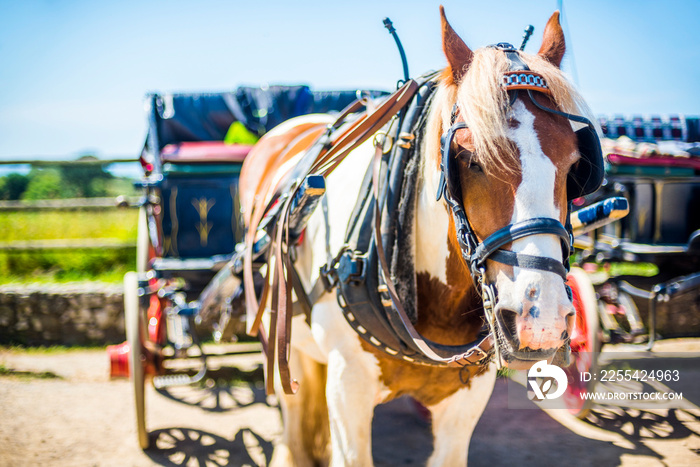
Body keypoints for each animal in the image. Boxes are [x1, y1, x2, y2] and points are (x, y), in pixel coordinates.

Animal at [239, 7, 600, 467]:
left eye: (575, 164)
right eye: (470, 158)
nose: (543, 321)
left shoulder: (467, 399)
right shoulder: (348, 388)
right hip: (276, 325)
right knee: (294, 409)